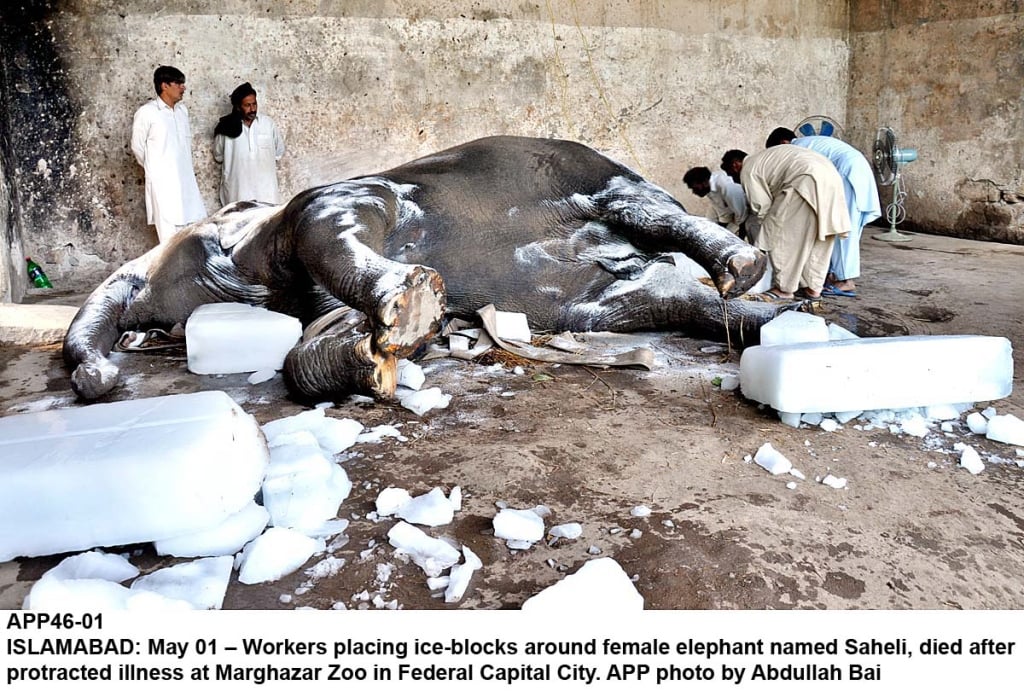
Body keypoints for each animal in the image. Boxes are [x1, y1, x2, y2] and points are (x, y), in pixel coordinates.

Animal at [64, 136, 798, 403]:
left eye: (216, 225)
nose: (103, 374)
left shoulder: (336, 199)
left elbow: (332, 222)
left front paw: (411, 305)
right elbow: (314, 347)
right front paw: (376, 353)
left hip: (589, 167)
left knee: (646, 210)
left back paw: (746, 265)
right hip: (601, 301)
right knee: (671, 302)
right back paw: (775, 324)